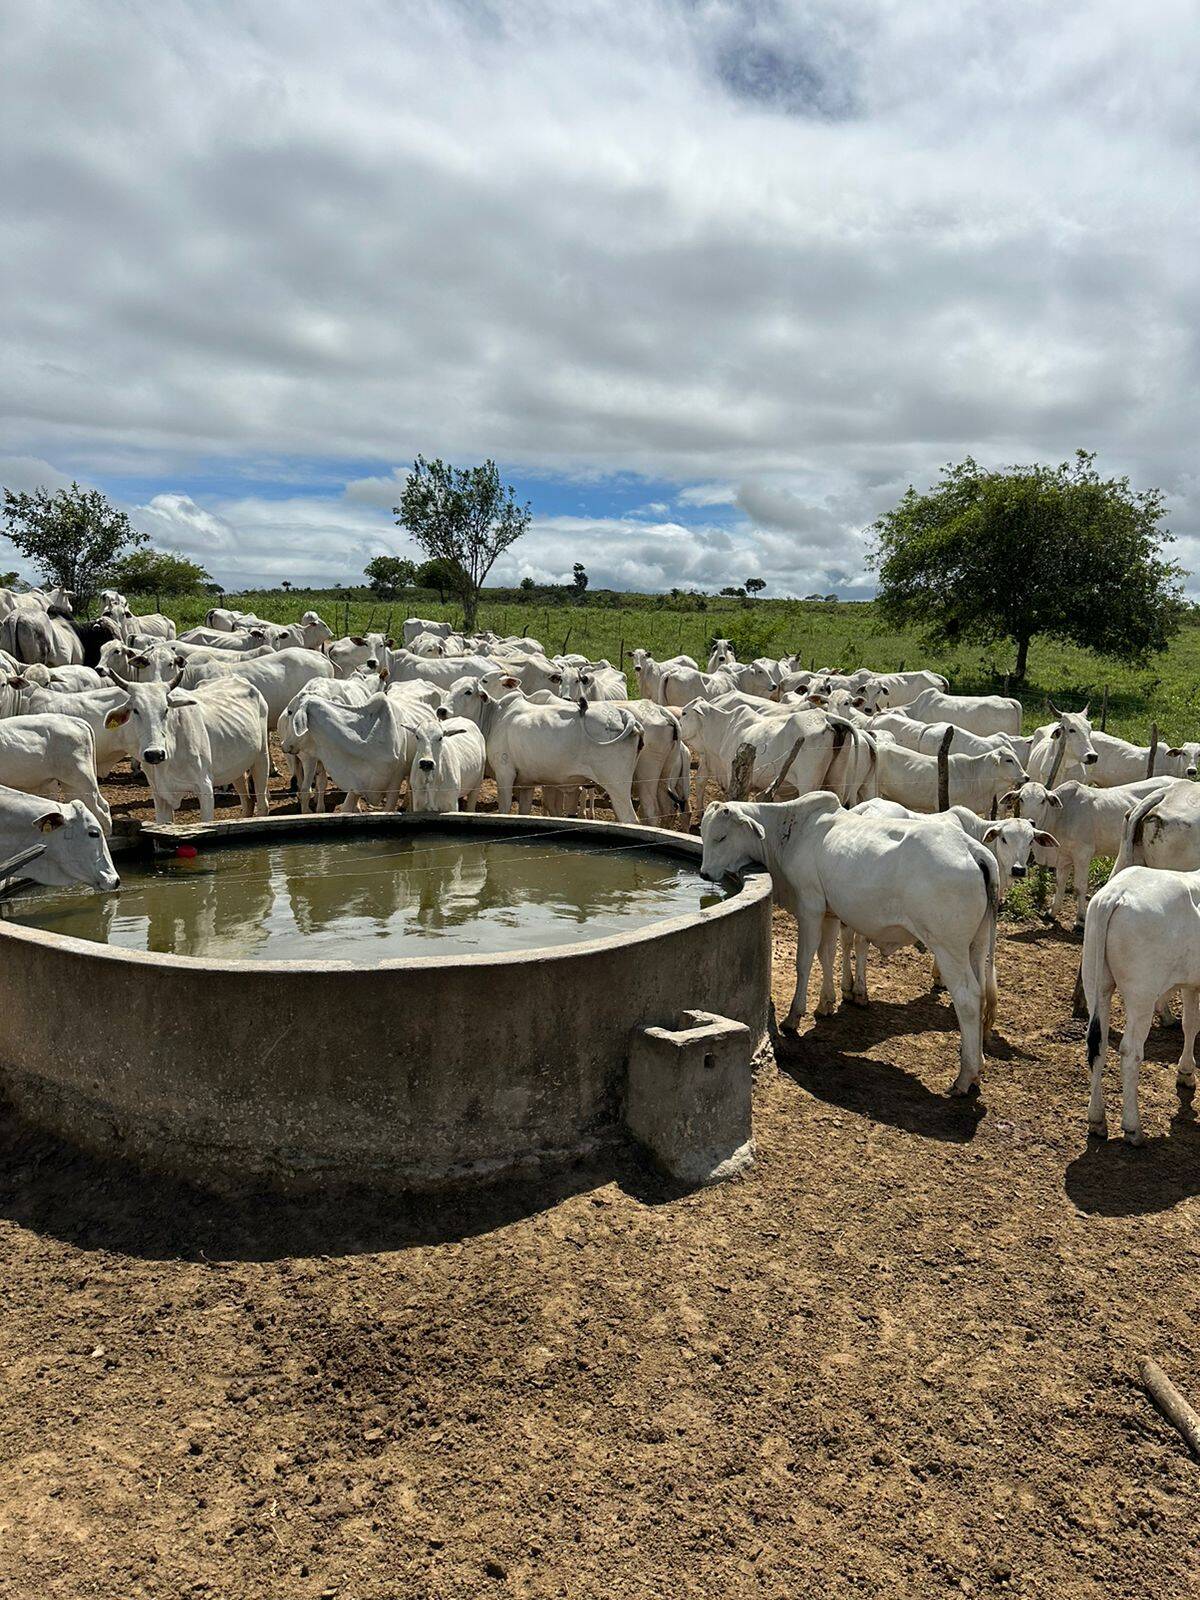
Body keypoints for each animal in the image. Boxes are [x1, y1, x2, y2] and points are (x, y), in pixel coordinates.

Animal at [700, 793, 998, 1094]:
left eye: (721, 837)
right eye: (703, 834)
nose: (704, 874)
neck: (789, 832)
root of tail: (973, 850)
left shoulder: (810, 906)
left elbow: (804, 961)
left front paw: (794, 1016)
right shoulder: (830, 913)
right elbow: (827, 954)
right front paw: (826, 1003)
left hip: (948, 947)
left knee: (968, 997)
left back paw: (964, 1077)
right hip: (977, 943)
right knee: (981, 992)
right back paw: (978, 1067)